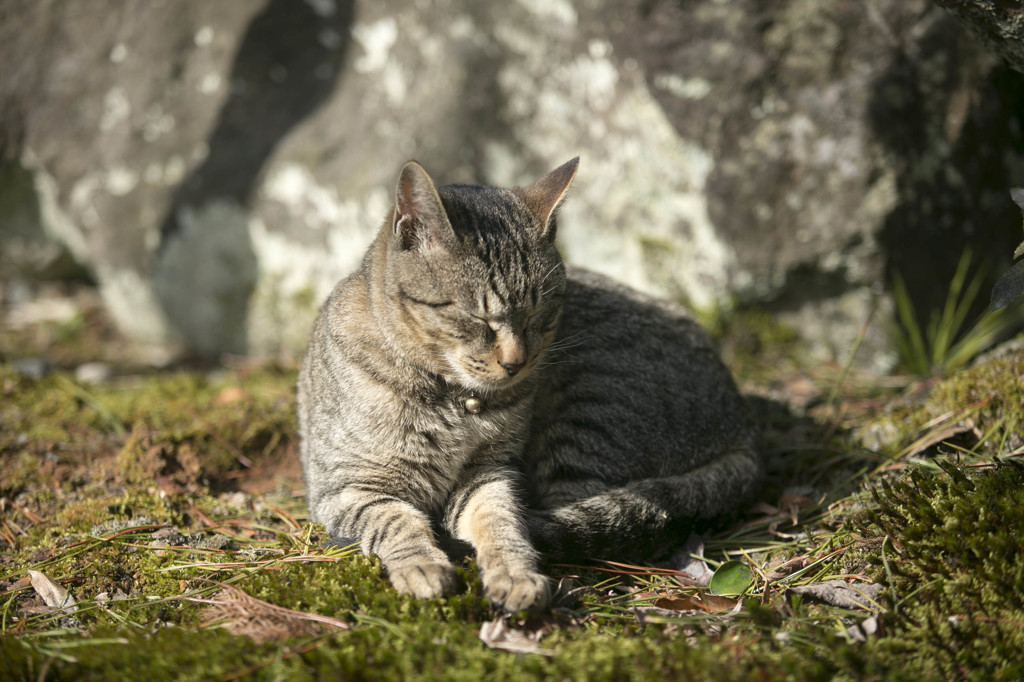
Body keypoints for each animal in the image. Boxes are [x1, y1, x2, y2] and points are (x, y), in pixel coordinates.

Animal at [296, 156, 761, 606]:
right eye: (479, 317)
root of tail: (741, 422)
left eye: (539, 314)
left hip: (589, 411)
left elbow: (501, 521)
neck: (455, 402)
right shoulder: (347, 487)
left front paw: (514, 573)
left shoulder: (491, 472)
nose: (515, 362)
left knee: (584, 519)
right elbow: (396, 521)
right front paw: (423, 566)